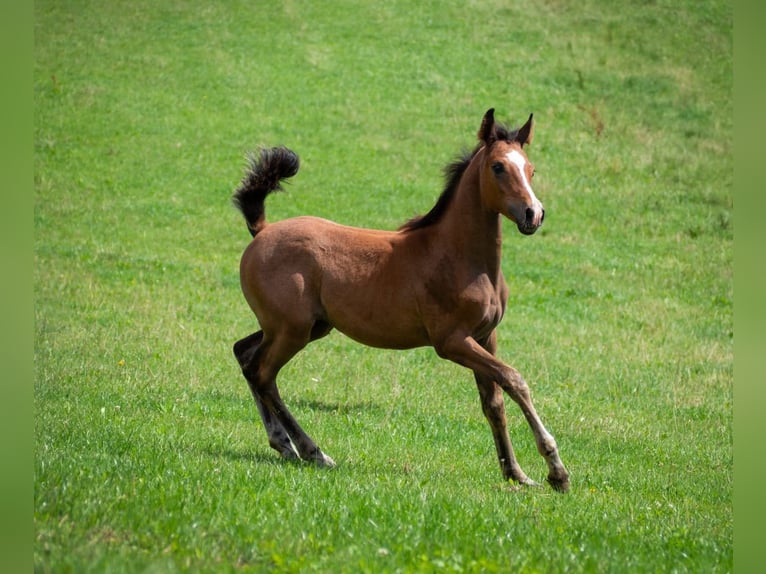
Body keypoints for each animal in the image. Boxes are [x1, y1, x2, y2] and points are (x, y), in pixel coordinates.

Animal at [231, 109, 570, 492]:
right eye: (498, 166)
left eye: (531, 169)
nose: (533, 214)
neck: (458, 257)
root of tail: (262, 230)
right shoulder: (452, 342)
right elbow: (514, 380)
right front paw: (556, 471)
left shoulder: (485, 336)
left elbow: (493, 402)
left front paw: (516, 473)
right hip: (293, 331)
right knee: (263, 373)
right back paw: (314, 452)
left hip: (302, 327)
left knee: (246, 356)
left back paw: (284, 445)